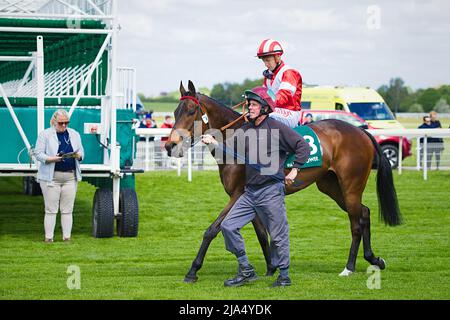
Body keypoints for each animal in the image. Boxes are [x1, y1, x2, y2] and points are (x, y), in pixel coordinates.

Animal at [165, 80, 400, 282]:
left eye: (191, 111)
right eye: (175, 112)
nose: (170, 145)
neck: (237, 142)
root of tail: (361, 131)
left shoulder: (238, 194)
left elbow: (213, 229)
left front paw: (193, 270)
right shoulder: (250, 195)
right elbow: (262, 233)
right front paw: (271, 268)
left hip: (351, 185)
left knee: (355, 223)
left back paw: (349, 267)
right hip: (330, 186)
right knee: (365, 212)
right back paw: (374, 258)